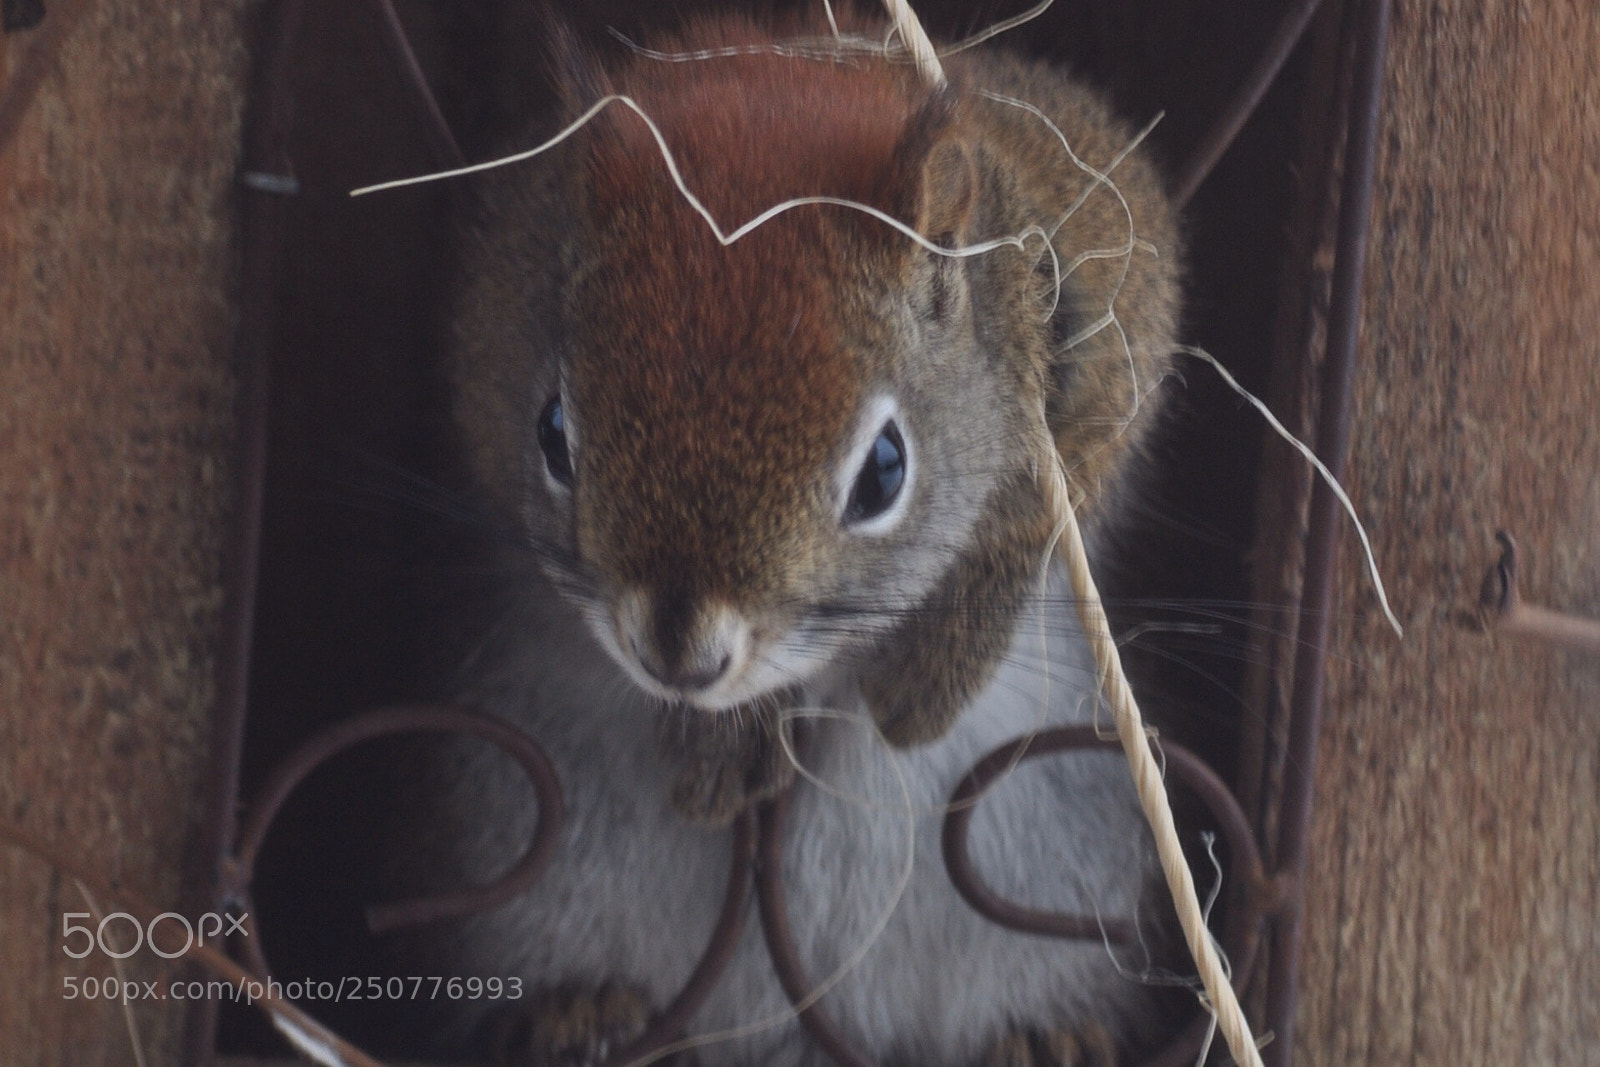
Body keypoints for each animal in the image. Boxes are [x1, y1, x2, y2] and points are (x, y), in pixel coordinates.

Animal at [398, 8, 1184, 1066]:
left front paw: (938, 665)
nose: (681, 656)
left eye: (885, 470)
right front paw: (727, 729)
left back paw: (1038, 1033)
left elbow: (1051, 489)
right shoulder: (493, 305)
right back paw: (581, 1009)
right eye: (553, 434)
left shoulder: (1107, 254)